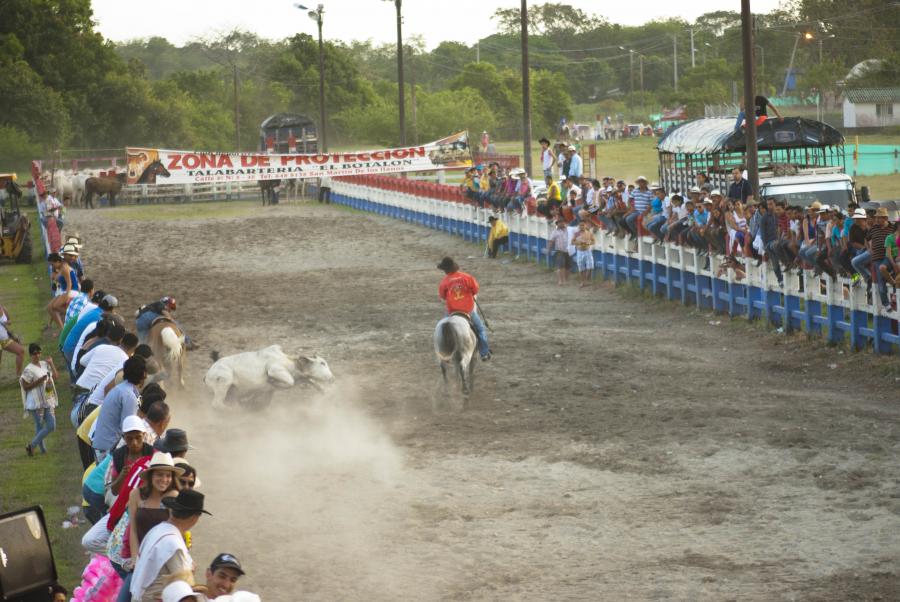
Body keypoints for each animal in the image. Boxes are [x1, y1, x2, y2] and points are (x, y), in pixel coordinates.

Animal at [202, 342, 336, 408]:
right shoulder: (274, 369)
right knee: (217, 404)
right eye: (322, 363)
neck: (291, 363)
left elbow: (312, 381)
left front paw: (324, 390)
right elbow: (289, 382)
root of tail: (207, 375)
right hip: (223, 382)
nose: (333, 378)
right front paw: (274, 382)